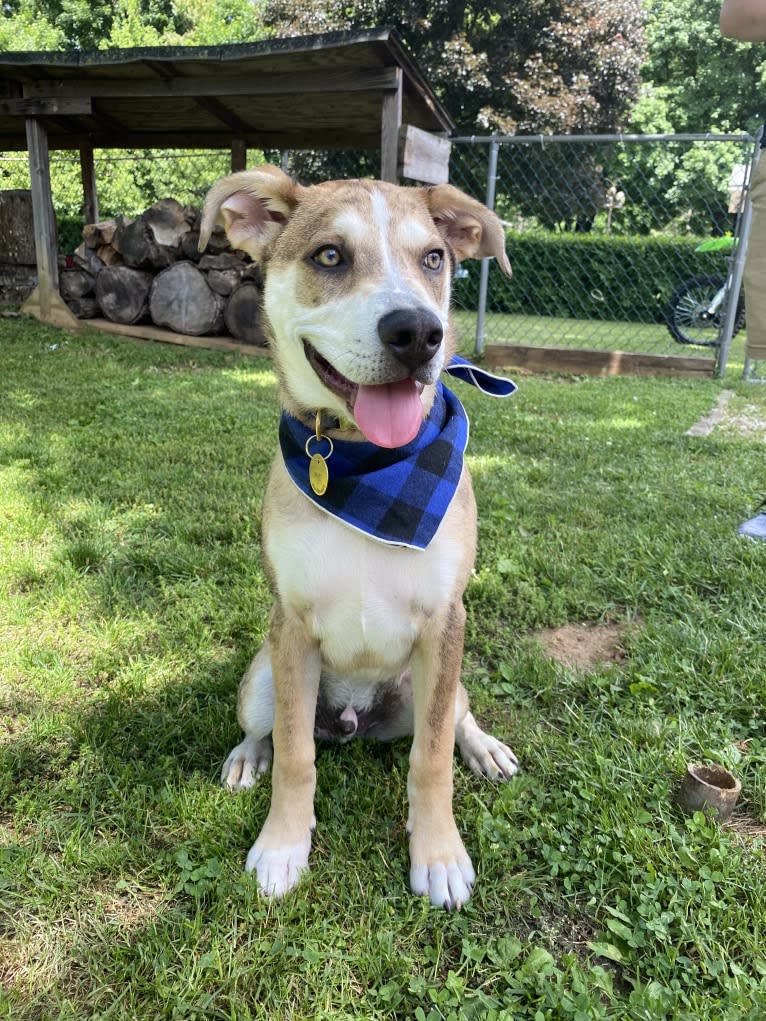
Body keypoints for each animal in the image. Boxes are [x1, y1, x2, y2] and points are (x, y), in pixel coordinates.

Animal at [201, 165, 518, 910]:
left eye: (433, 258)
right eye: (329, 256)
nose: (418, 332)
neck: (366, 464)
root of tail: (353, 718)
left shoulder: (446, 619)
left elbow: (430, 758)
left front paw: (438, 855)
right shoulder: (290, 624)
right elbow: (296, 751)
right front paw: (282, 846)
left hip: (441, 680)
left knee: (455, 719)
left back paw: (483, 746)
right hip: (261, 674)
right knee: (266, 726)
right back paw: (246, 757)